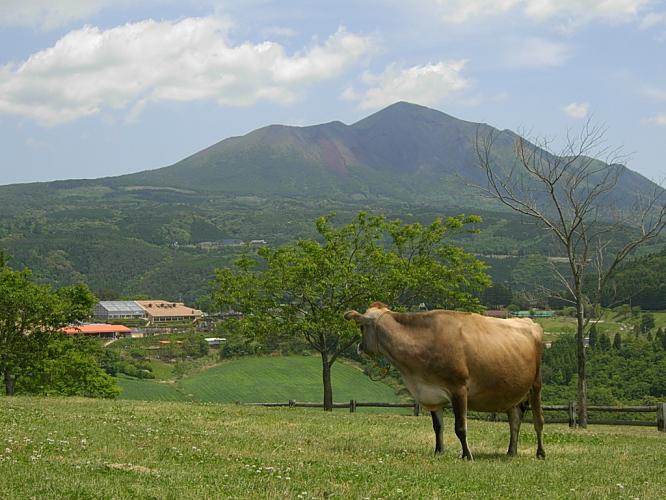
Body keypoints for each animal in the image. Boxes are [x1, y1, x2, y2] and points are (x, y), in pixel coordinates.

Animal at [342, 300, 544, 460]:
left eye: (361, 327)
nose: (359, 347)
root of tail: (530, 322)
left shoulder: (459, 389)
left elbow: (460, 427)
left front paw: (467, 455)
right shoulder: (432, 392)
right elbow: (437, 426)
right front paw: (439, 451)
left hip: (536, 385)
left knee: (538, 421)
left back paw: (540, 453)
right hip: (513, 391)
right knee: (515, 421)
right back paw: (511, 452)